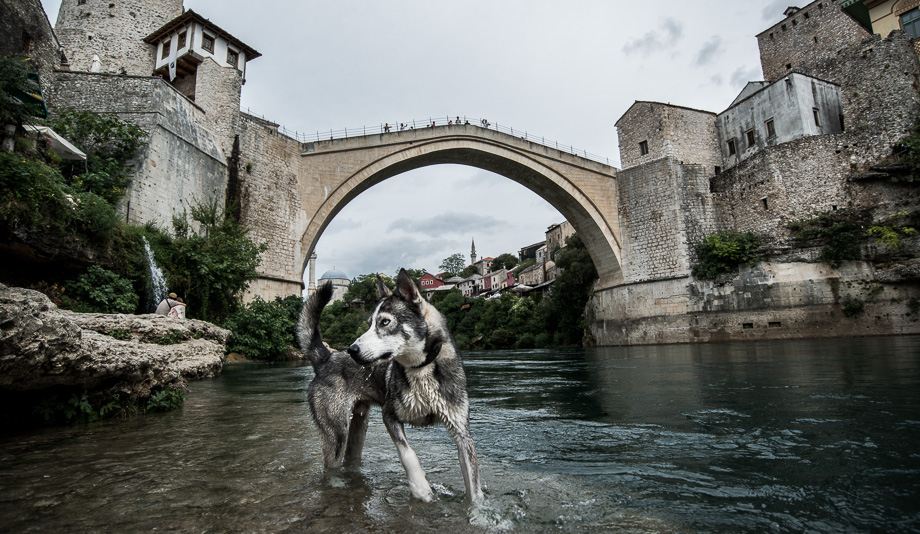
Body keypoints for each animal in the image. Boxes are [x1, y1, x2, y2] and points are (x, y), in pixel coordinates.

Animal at [298, 270, 486, 504]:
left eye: (385, 322)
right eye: (369, 323)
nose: (352, 349)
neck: (420, 368)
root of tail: (326, 357)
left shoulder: (462, 433)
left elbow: (474, 489)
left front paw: (477, 511)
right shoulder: (390, 416)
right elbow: (408, 454)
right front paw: (421, 488)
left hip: (358, 429)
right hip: (337, 433)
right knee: (331, 467)